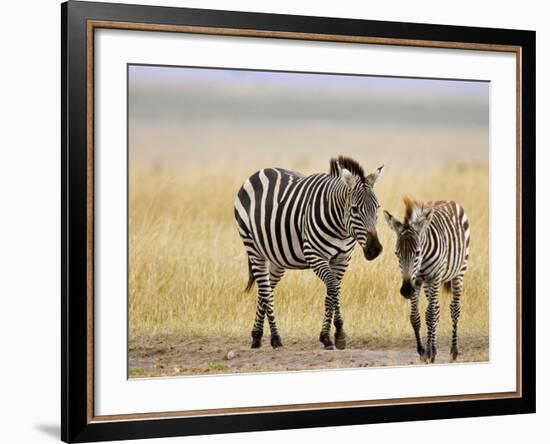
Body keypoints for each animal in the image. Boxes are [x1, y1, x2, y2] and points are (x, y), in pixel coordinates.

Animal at [235, 156, 386, 350]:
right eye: (354, 209)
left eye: (377, 208)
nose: (375, 249)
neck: (342, 229)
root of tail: (261, 171)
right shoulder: (315, 256)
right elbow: (332, 289)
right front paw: (330, 336)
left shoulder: (343, 259)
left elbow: (335, 291)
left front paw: (336, 334)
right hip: (253, 247)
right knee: (266, 290)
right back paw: (275, 338)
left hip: (277, 258)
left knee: (264, 289)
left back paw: (257, 336)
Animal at [386, 199, 472, 364]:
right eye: (397, 253)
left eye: (417, 252)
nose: (406, 290)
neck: (423, 259)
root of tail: (448, 201)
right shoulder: (417, 280)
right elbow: (416, 317)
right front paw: (423, 351)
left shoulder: (435, 276)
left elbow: (430, 315)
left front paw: (430, 352)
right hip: (428, 283)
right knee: (436, 308)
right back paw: (433, 347)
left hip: (459, 271)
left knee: (454, 309)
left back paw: (453, 351)